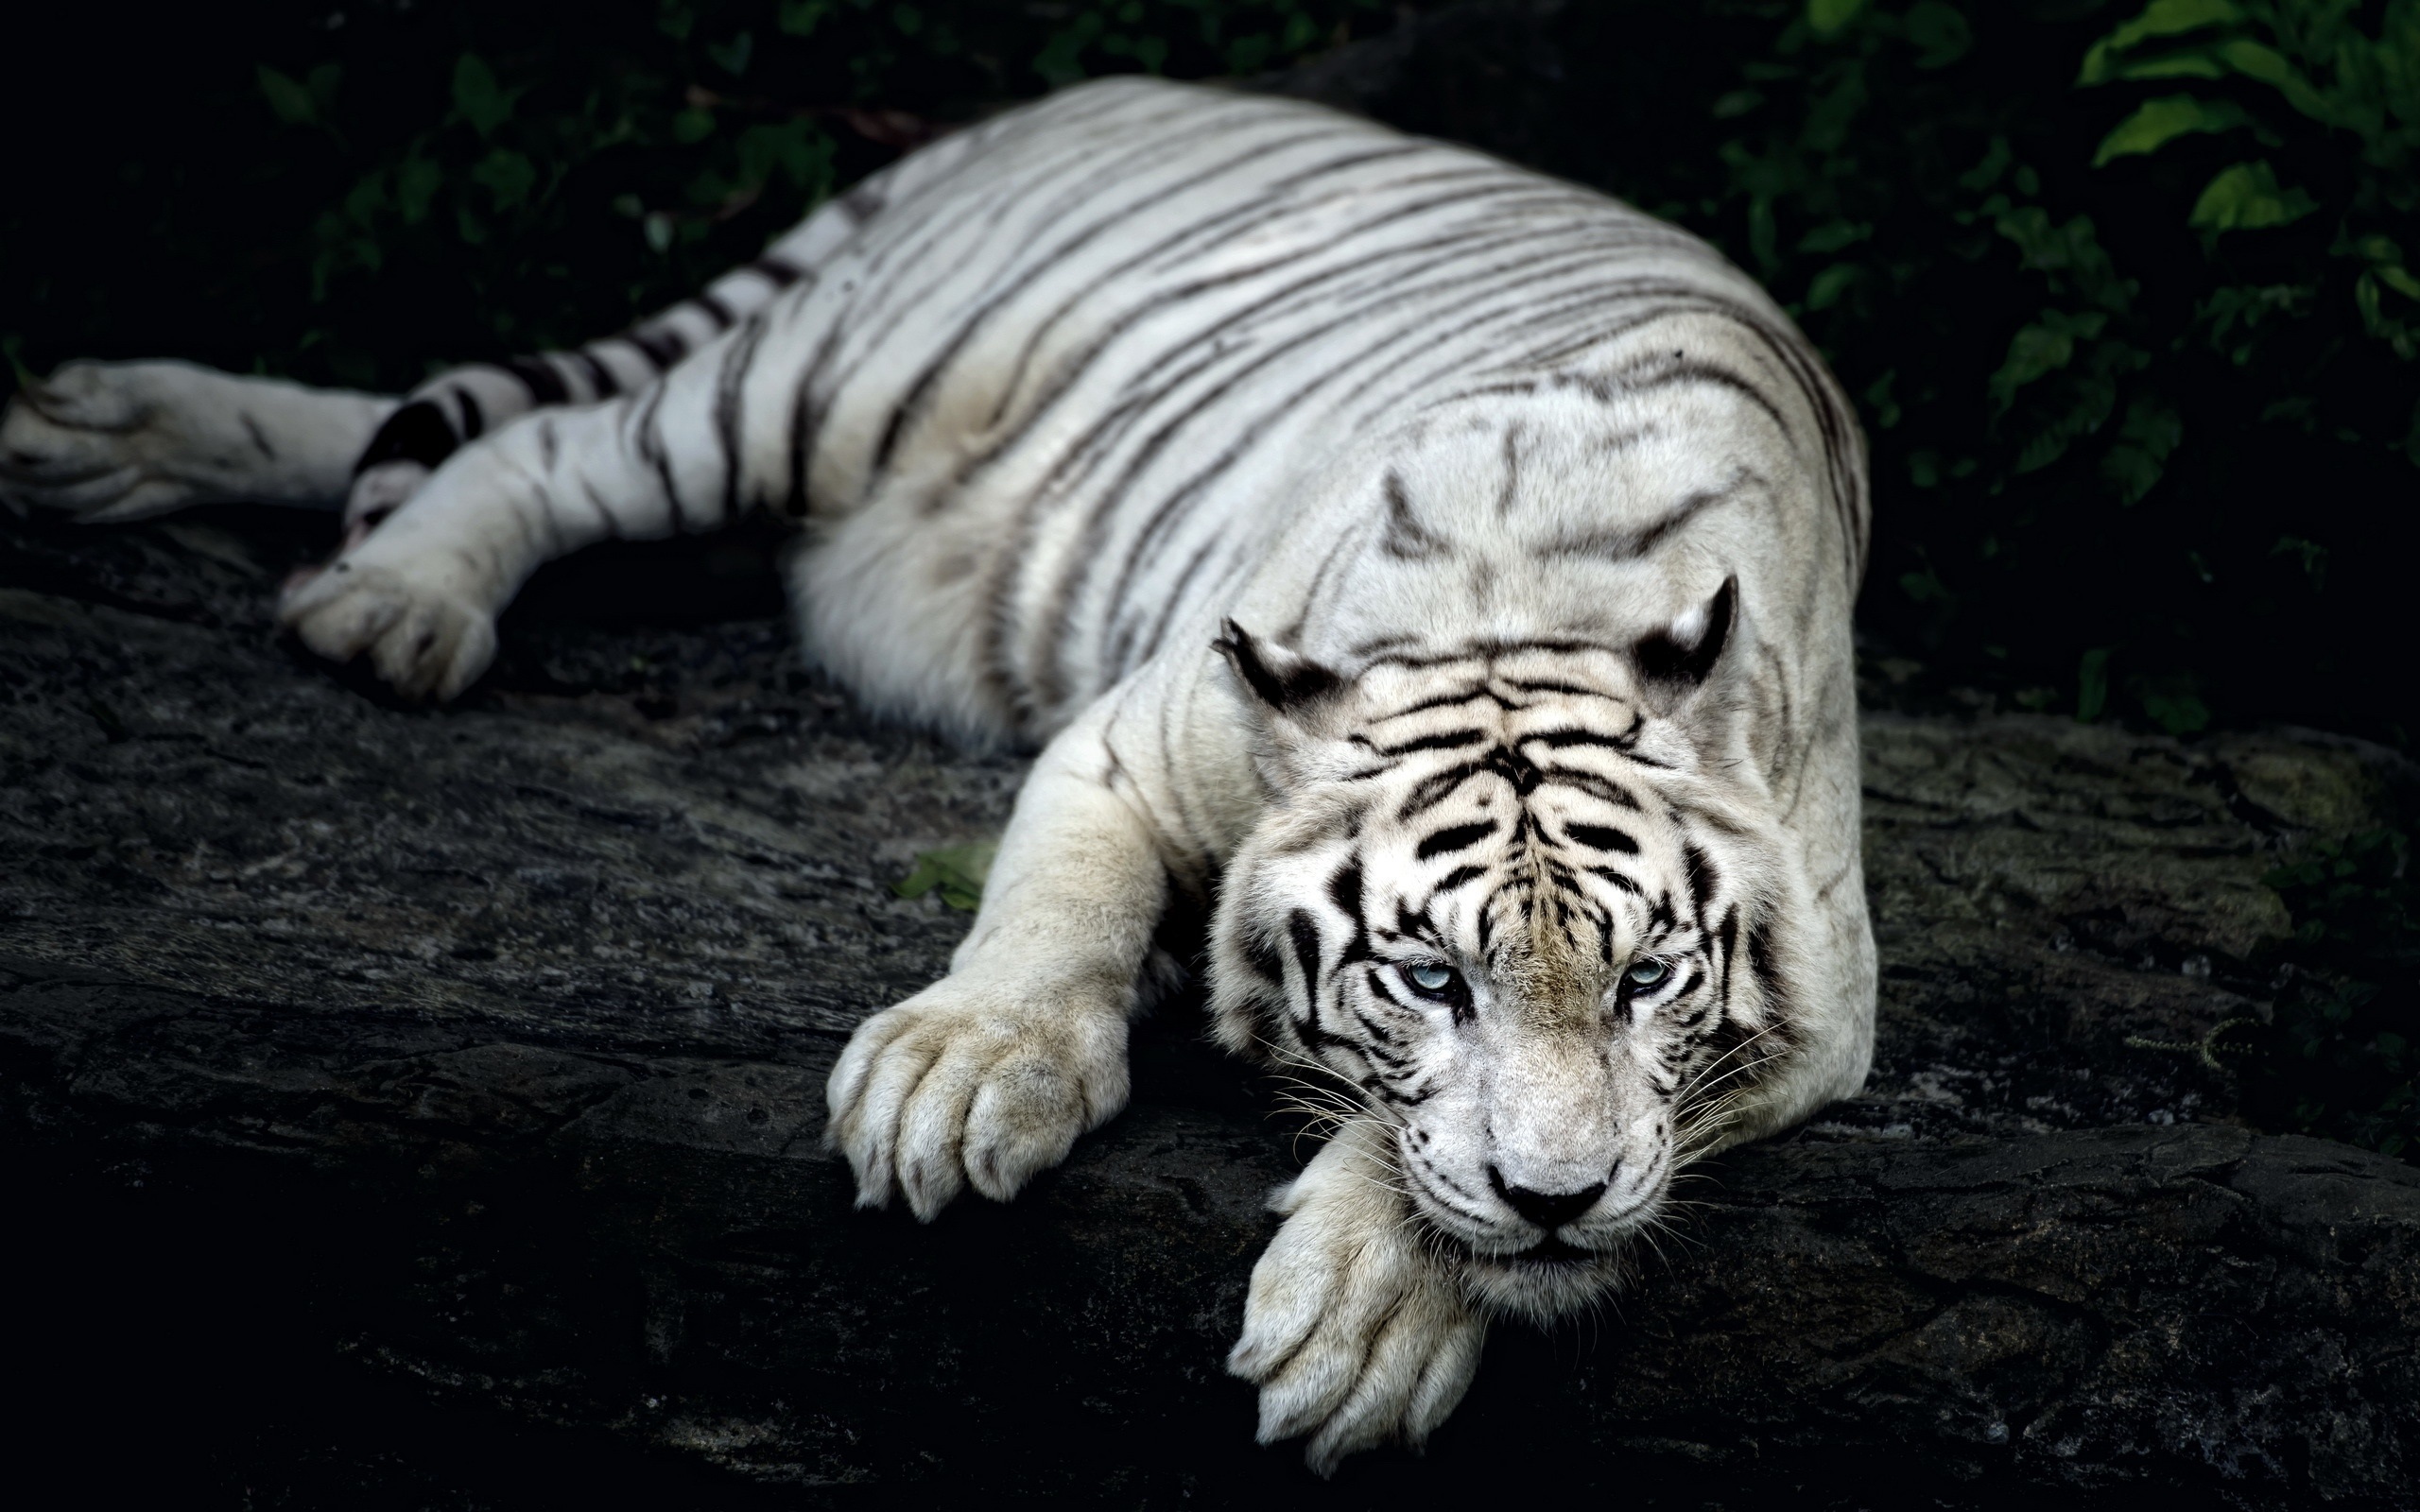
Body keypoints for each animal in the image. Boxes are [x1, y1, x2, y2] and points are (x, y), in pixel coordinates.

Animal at [0, 76, 1876, 1472]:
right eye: (1430, 980)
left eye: (1646, 982)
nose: (1559, 1205)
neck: (1531, 605)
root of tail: (1088, 91)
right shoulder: (1128, 738)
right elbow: (1050, 921)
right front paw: (959, 1081)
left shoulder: (1828, 997)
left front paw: (1373, 1313)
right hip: (817, 384)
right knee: (528, 444)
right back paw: (382, 598)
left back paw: (94, 441)